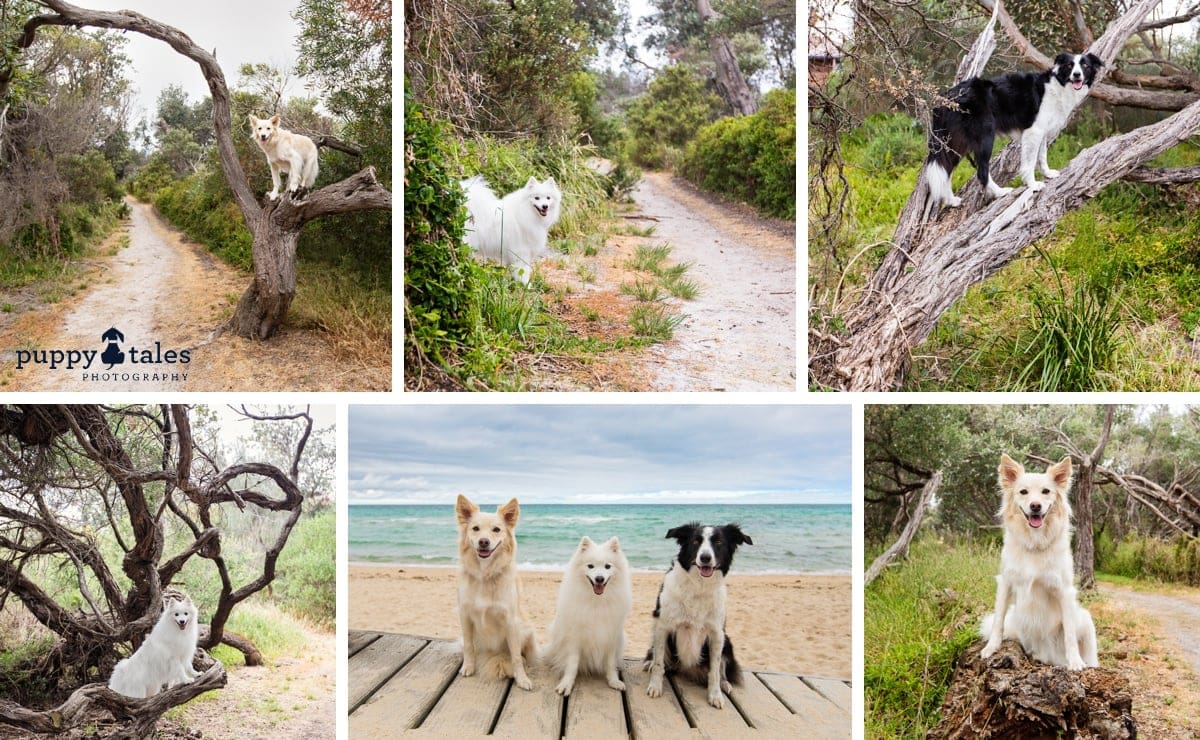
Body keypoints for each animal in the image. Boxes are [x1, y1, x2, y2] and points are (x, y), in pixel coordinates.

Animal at [544, 534, 633, 695]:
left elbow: (610, 663)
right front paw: (567, 684)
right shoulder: (575, 638)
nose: (599, 578)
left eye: (607, 566)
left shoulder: (611, 636)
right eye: (590, 566)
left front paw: (614, 681)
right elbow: (572, 664)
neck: (596, 602)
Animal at [648, 522, 748, 705]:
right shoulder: (662, 626)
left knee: (721, 669)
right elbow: (659, 662)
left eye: (718, 542)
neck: (698, 587)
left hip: (727, 642)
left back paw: (725, 684)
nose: (705, 558)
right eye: (695, 541)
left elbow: (714, 670)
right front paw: (655, 686)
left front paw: (715, 694)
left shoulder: (717, 633)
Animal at [921, 52, 1099, 207]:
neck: (1059, 86)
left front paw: (1048, 174)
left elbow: (1042, 156)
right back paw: (1000, 193)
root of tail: (946, 97)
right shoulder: (1033, 132)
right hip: (985, 137)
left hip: (954, 143)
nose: (1077, 75)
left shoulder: (1042, 132)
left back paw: (951, 200)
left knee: (946, 170)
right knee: (981, 172)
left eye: (1085, 66)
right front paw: (1033, 185)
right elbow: (1030, 162)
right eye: (1070, 65)